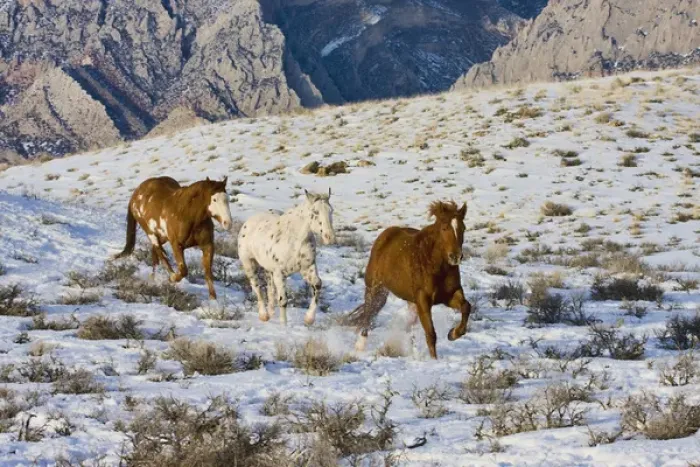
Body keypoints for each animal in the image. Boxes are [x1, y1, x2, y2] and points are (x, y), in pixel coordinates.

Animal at [238, 189, 336, 326]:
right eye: (315, 212)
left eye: (331, 210)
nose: (330, 237)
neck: (296, 239)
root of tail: (248, 222)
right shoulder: (280, 274)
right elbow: (283, 300)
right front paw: (283, 325)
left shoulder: (307, 268)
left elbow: (317, 285)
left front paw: (309, 318)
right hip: (249, 264)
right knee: (257, 287)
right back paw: (264, 315)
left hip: (269, 270)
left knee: (270, 289)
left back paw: (271, 312)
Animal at [347, 201, 471, 359]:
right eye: (444, 228)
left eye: (463, 228)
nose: (455, 257)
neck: (434, 265)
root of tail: (386, 235)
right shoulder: (423, 299)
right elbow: (431, 333)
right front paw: (434, 360)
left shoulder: (449, 295)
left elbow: (466, 307)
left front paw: (452, 334)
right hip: (375, 289)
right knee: (369, 314)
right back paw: (359, 347)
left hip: (408, 301)